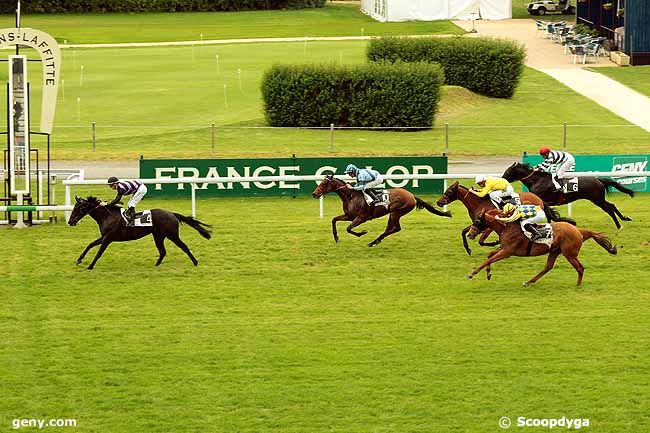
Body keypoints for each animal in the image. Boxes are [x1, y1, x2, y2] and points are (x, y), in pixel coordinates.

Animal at [67, 197, 211, 270]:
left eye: (79, 207)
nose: (70, 221)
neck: (108, 216)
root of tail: (172, 213)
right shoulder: (104, 237)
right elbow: (90, 245)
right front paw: (79, 260)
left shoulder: (108, 238)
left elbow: (98, 253)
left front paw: (90, 266)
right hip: (158, 236)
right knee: (162, 252)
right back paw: (155, 265)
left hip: (172, 235)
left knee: (184, 247)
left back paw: (195, 262)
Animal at [312, 173, 448, 246]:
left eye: (324, 183)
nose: (314, 194)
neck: (351, 196)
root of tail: (411, 195)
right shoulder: (349, 216)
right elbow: (334, 219)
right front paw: (336, 237)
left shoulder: (361, 217)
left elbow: (349, 229)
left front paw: (362, 233)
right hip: (392, 214)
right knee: (391, 228)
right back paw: (376, 241)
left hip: (396, 212)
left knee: (396, 228)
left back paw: (374, 241)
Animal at [436, 181, 572, 255]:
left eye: (448, 192)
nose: (438, 202)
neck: (479, 203)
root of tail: (538, 197)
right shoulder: (478, 222)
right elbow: (464, 232)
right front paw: (468, 249)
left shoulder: (488, 225)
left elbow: (481, 241)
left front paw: (495, 242)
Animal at [466, 208, 612, 286]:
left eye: (477, 221)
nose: (470, 234)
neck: (507, 227)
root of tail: (579, 231)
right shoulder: (504, 249)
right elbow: (489, 255)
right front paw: (488, 274)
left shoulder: (507, 252)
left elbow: (489, 259)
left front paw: (472, 273)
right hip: (554, 251)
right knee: (548, 267)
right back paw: (528, 282)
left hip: (569, 254)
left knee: (580, 268)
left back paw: (578, 285)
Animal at [502, 162, 632, 230]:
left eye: (507, 171)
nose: (502, 179)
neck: (537, 181)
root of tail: (598, 179)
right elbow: (549, 215)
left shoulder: (543, 200)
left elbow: (551, 215)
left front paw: (569, 221)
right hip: (598, 199)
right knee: (612, 206)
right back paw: (624, 219)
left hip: (597, 199)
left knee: (609, 209)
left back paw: (619, 225)